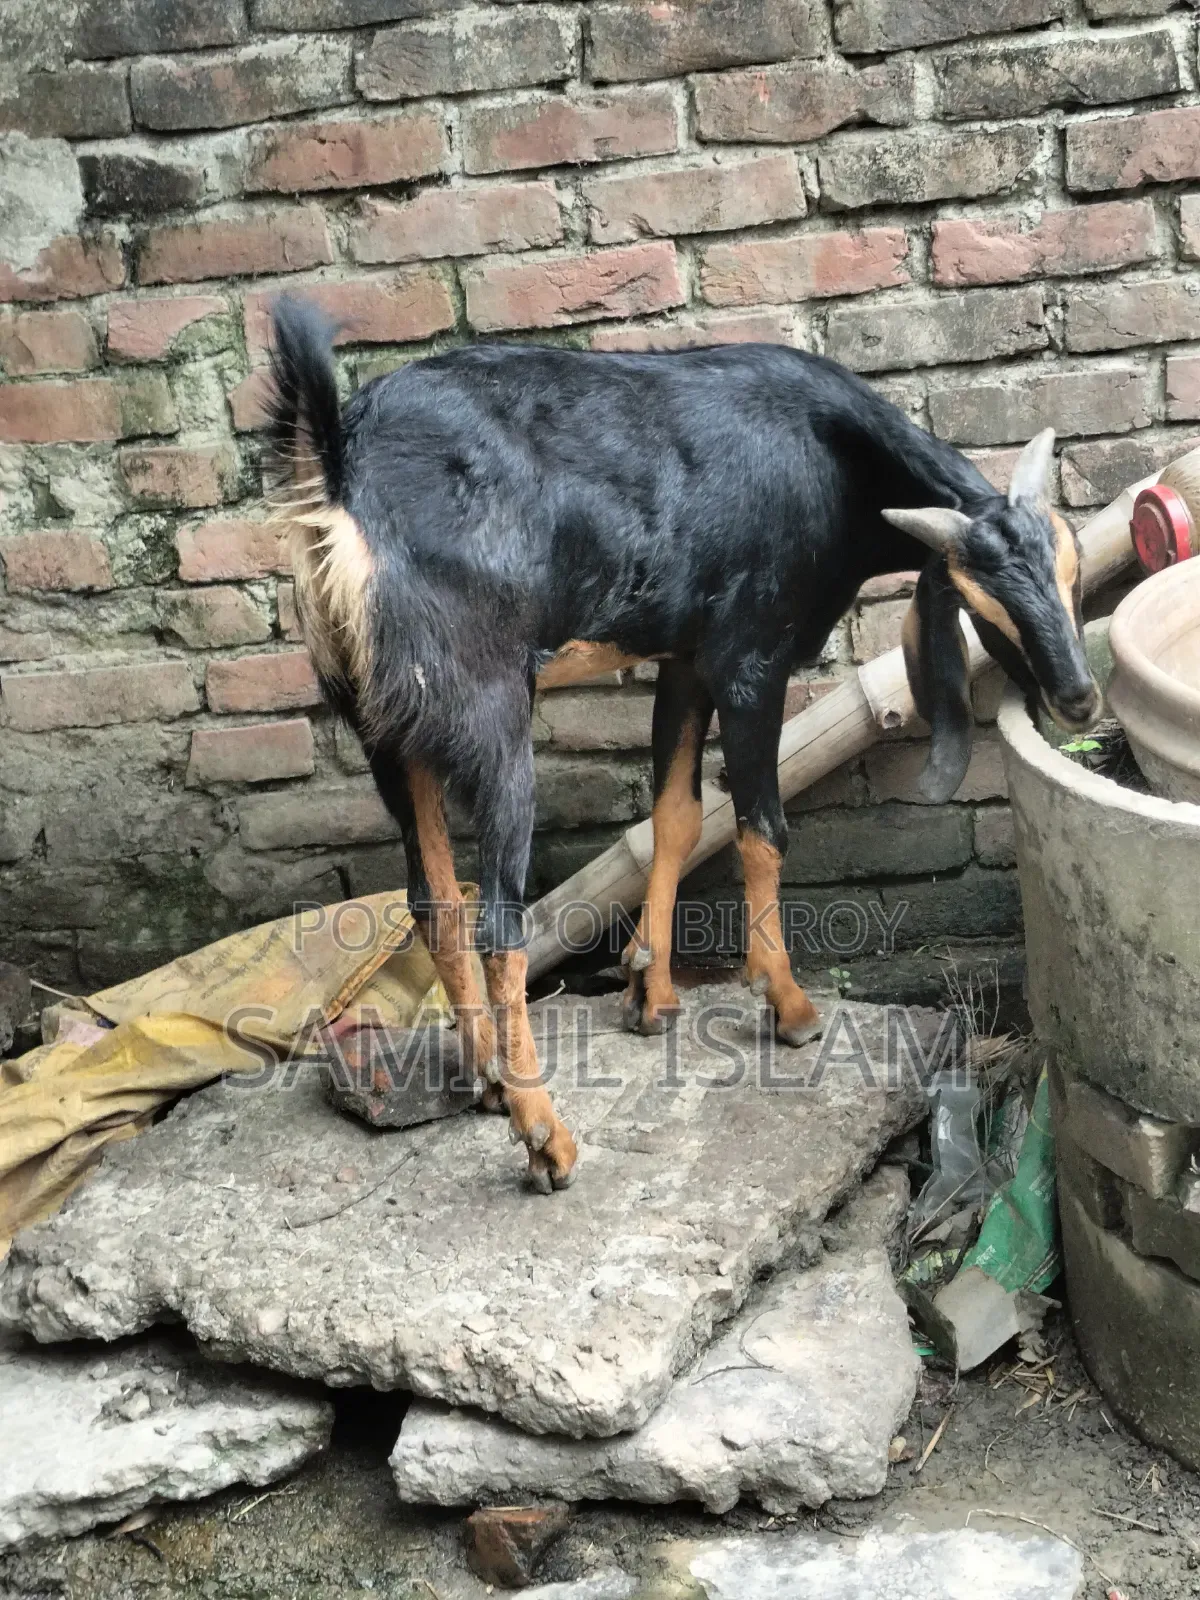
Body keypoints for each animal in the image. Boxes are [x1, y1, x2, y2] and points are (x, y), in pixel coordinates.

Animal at [265, 297, 1098, 1194]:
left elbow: (675, 816)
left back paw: (489, 1080)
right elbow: (761, 827)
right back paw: (546, 1136)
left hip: (384, 726)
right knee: (498, 922)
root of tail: (341, 471)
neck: (832, 456)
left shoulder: (686, 658)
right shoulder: (751, 655)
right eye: (980, 602)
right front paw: (787, 1004)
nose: (1080, 698)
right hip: (490, 714)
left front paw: (651, 992)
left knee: (435, 902)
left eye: (1074, 567)